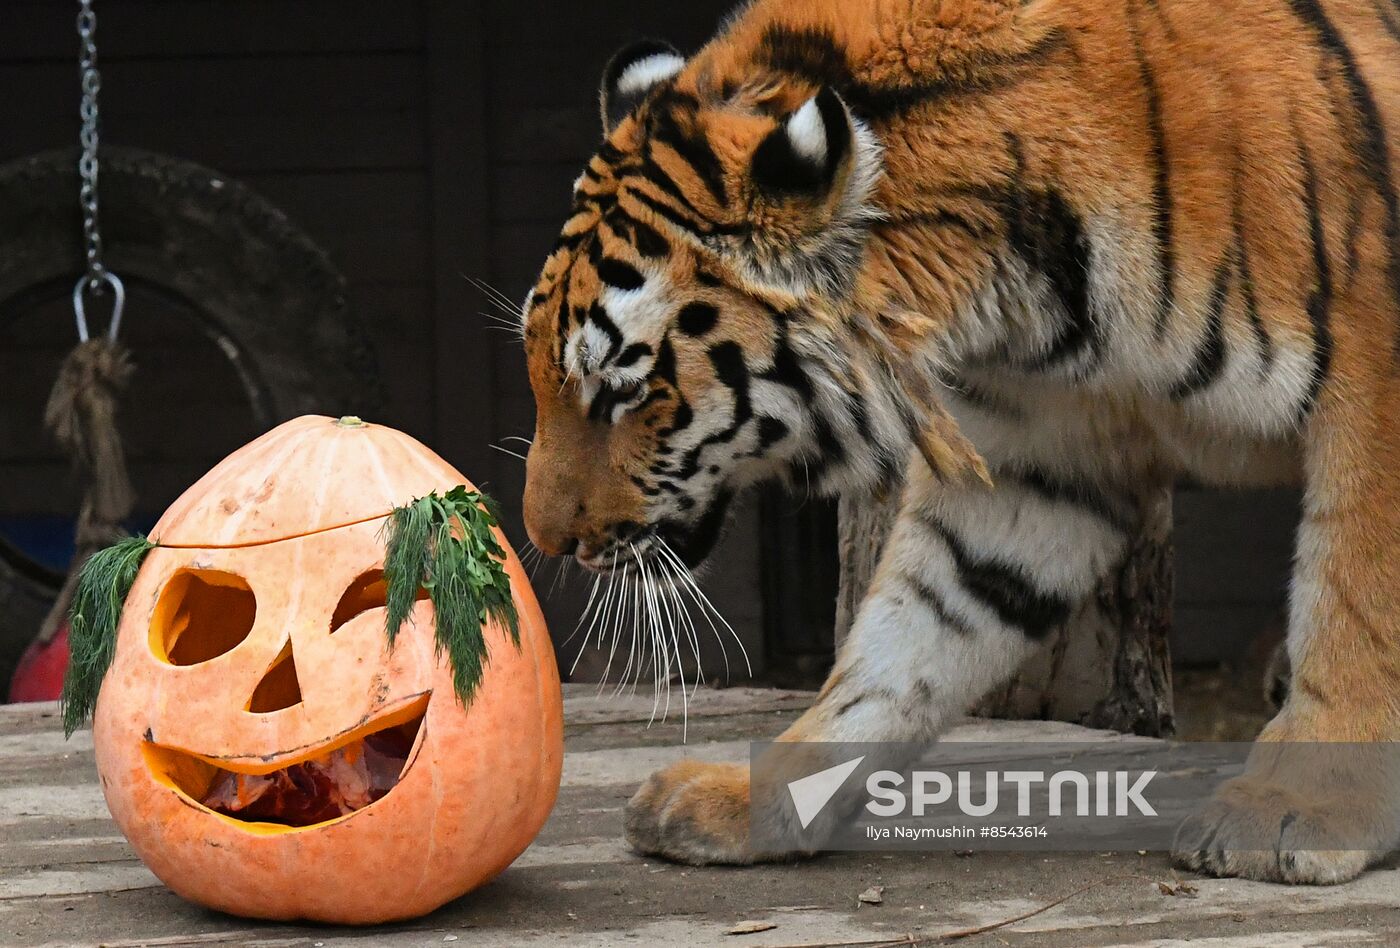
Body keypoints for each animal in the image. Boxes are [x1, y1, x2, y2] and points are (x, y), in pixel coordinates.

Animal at [518, 0, 1400, 884]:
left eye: (625, 390)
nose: (547, 541)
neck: (1034, 306)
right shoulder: (1038, 458)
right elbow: (909, 639)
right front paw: (755, 798)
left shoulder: (1375, 394)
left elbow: (1355, 604)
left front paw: (1297, 806)